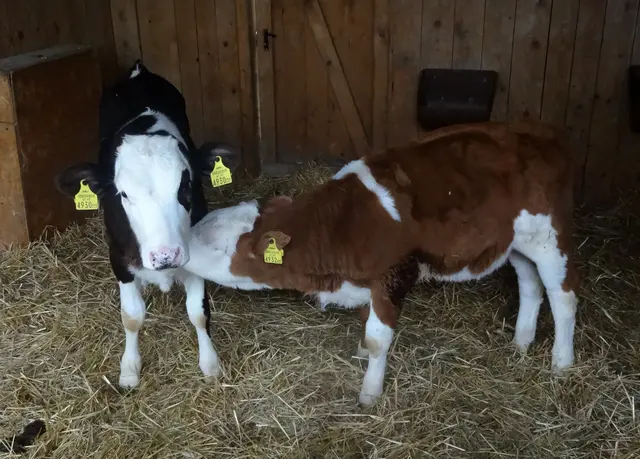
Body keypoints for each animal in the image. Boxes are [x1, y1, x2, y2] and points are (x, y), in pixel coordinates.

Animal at [55, 61, 239, 389]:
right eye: (124, 194)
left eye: (186, 186)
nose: (165, 256)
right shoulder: (118, 258)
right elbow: (132, 316)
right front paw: (129, 368)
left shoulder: (194, 254)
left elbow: (198, 312)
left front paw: (210, 362)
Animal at [183, 120, 579, 406]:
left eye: (215, 244)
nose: (178, 251)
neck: (343, 225)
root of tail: (543, 134)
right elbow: (365, 322)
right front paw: (360, 351)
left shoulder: (394, 276)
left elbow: (379, 339)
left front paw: (369, 393)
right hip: (516, 245)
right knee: (530, 285)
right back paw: (521, 342)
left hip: (549, 237)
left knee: (563, 296)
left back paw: (561, 363)